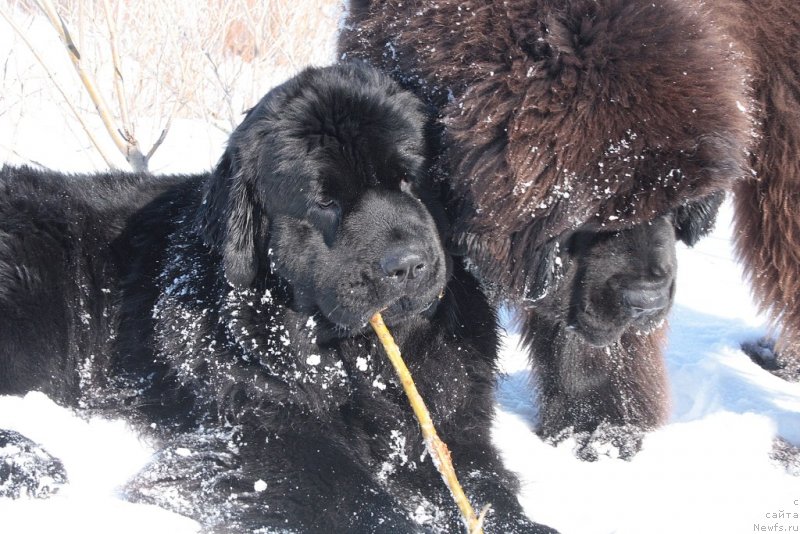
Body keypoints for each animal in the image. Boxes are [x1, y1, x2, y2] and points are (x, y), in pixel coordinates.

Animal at [0, 63, 552, 534]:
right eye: (325, 201)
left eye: (410, 179)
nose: (408, 264)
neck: (362, 359)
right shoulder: (270, 427)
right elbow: (354, 496)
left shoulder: (452, 426)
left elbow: (483, 485)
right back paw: (30, 465)